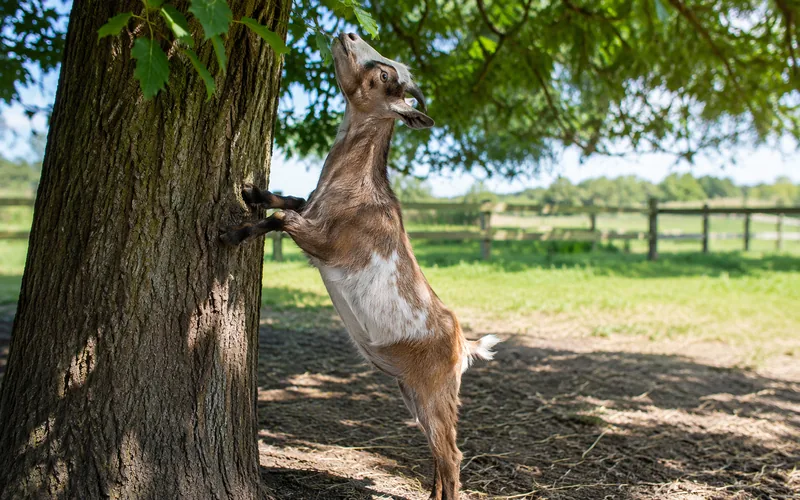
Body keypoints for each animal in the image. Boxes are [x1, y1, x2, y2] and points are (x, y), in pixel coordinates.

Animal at [222, 33, 499, 500]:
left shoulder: (325, 242)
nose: (348, 34)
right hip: (412, 392)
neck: (356, 190)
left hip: (436, 392)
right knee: (438, 455)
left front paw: (231, 234)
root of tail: (464, 345)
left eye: (385, 75)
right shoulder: (311, 210)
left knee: (453, 456)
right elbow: (289, 200)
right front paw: (251, 191)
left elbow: (281, 219)